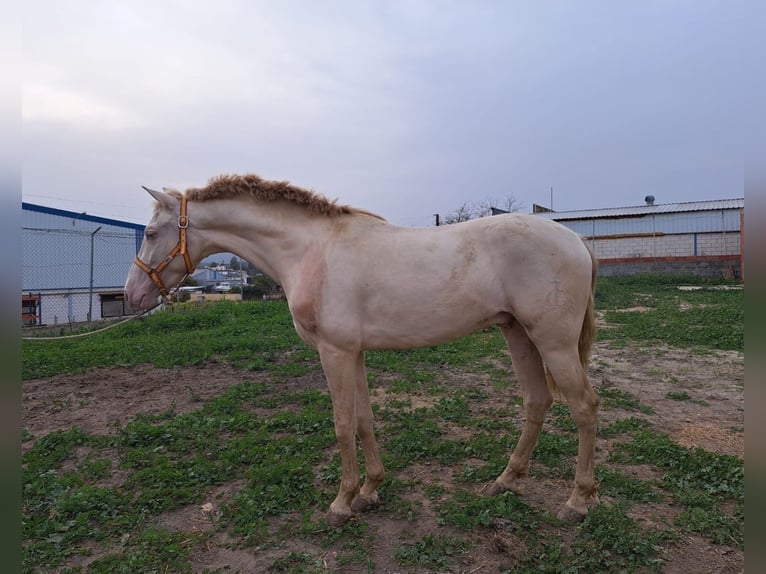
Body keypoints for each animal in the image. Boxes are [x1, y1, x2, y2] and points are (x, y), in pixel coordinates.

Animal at [123, 173, 604, 528]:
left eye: (151, 232)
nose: (132, 295)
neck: (311, 250)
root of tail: (575, 240)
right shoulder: (353, 353)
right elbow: (364, 419)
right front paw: (370, 490)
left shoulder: (333, 352)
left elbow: (341, 425)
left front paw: (341, 502)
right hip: (517, 333)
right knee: (537, 400)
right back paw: (506, 481)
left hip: (553, 342)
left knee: (584, 406)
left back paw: (577, 502)